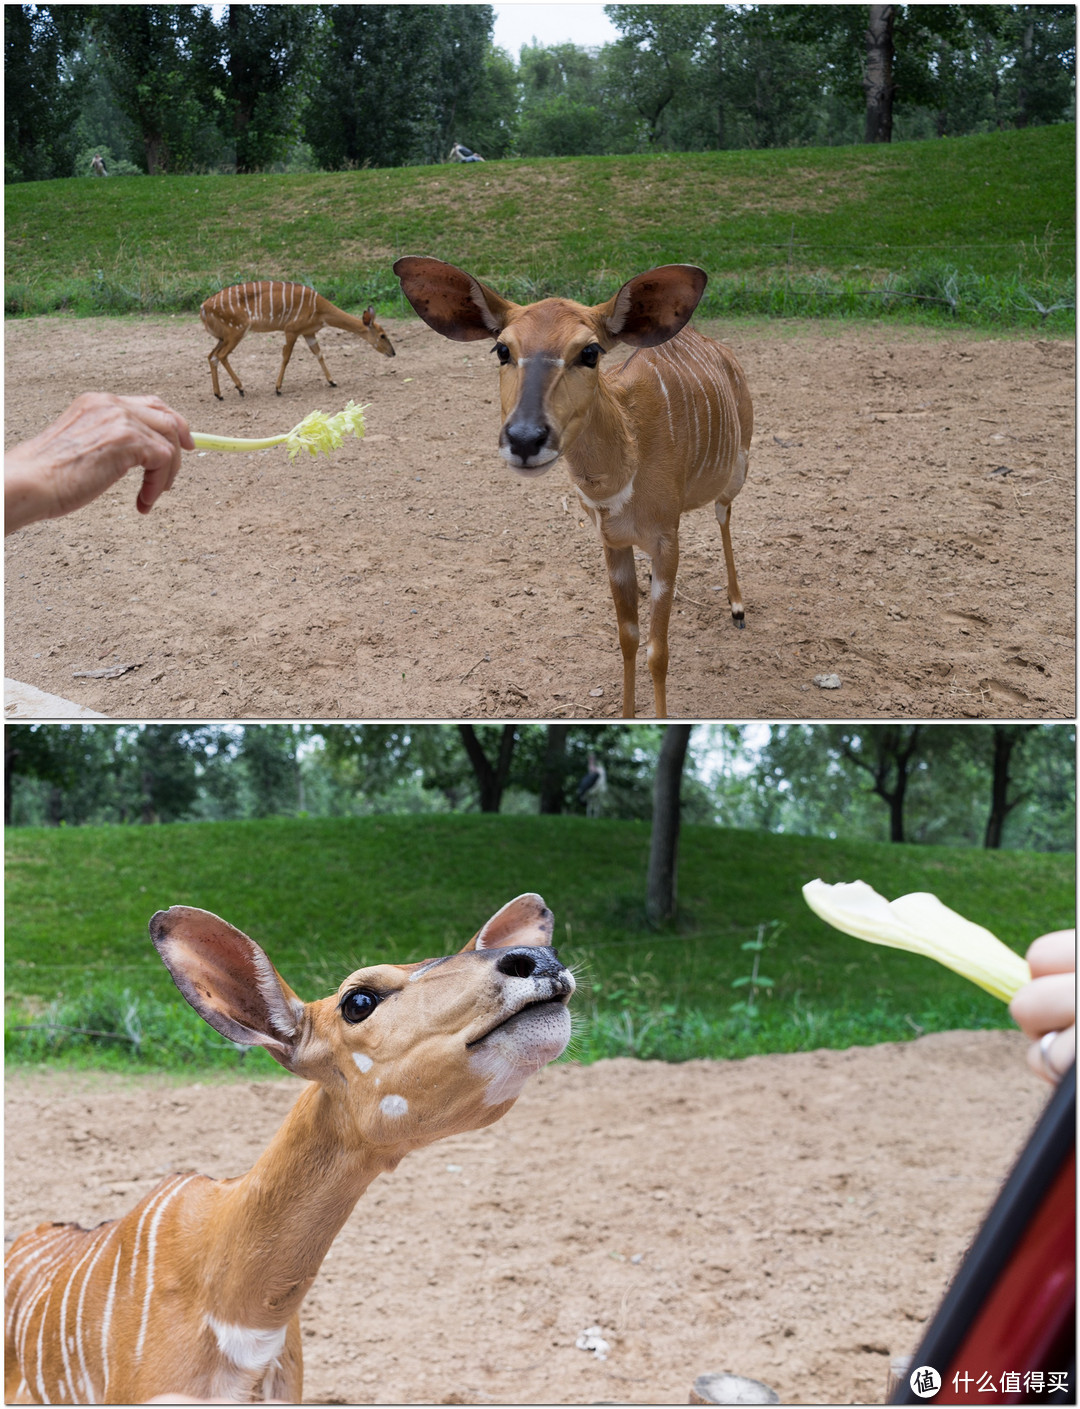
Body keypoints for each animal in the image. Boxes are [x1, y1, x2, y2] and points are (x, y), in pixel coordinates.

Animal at [199, 280, 394, 400]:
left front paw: (332, 381)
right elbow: (286, 357)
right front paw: (278, 389)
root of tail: (203, 308)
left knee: (211, 356)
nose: (393, 352)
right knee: (221, 355)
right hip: (237, 331)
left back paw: (219, 394)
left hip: (223, 336)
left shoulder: (309, 333)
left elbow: (319, 354)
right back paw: (240, 388)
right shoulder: (291, 330)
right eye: (382, 335)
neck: (320, 309)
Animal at [394, 256, 754, 715]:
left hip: (738, 466)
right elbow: (628, 638)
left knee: (724, 512)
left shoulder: (665, 539)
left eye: (589, 351)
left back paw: (737, 607)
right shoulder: (613, 542)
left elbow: (658, 652)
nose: (525, 438)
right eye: (502, 349)